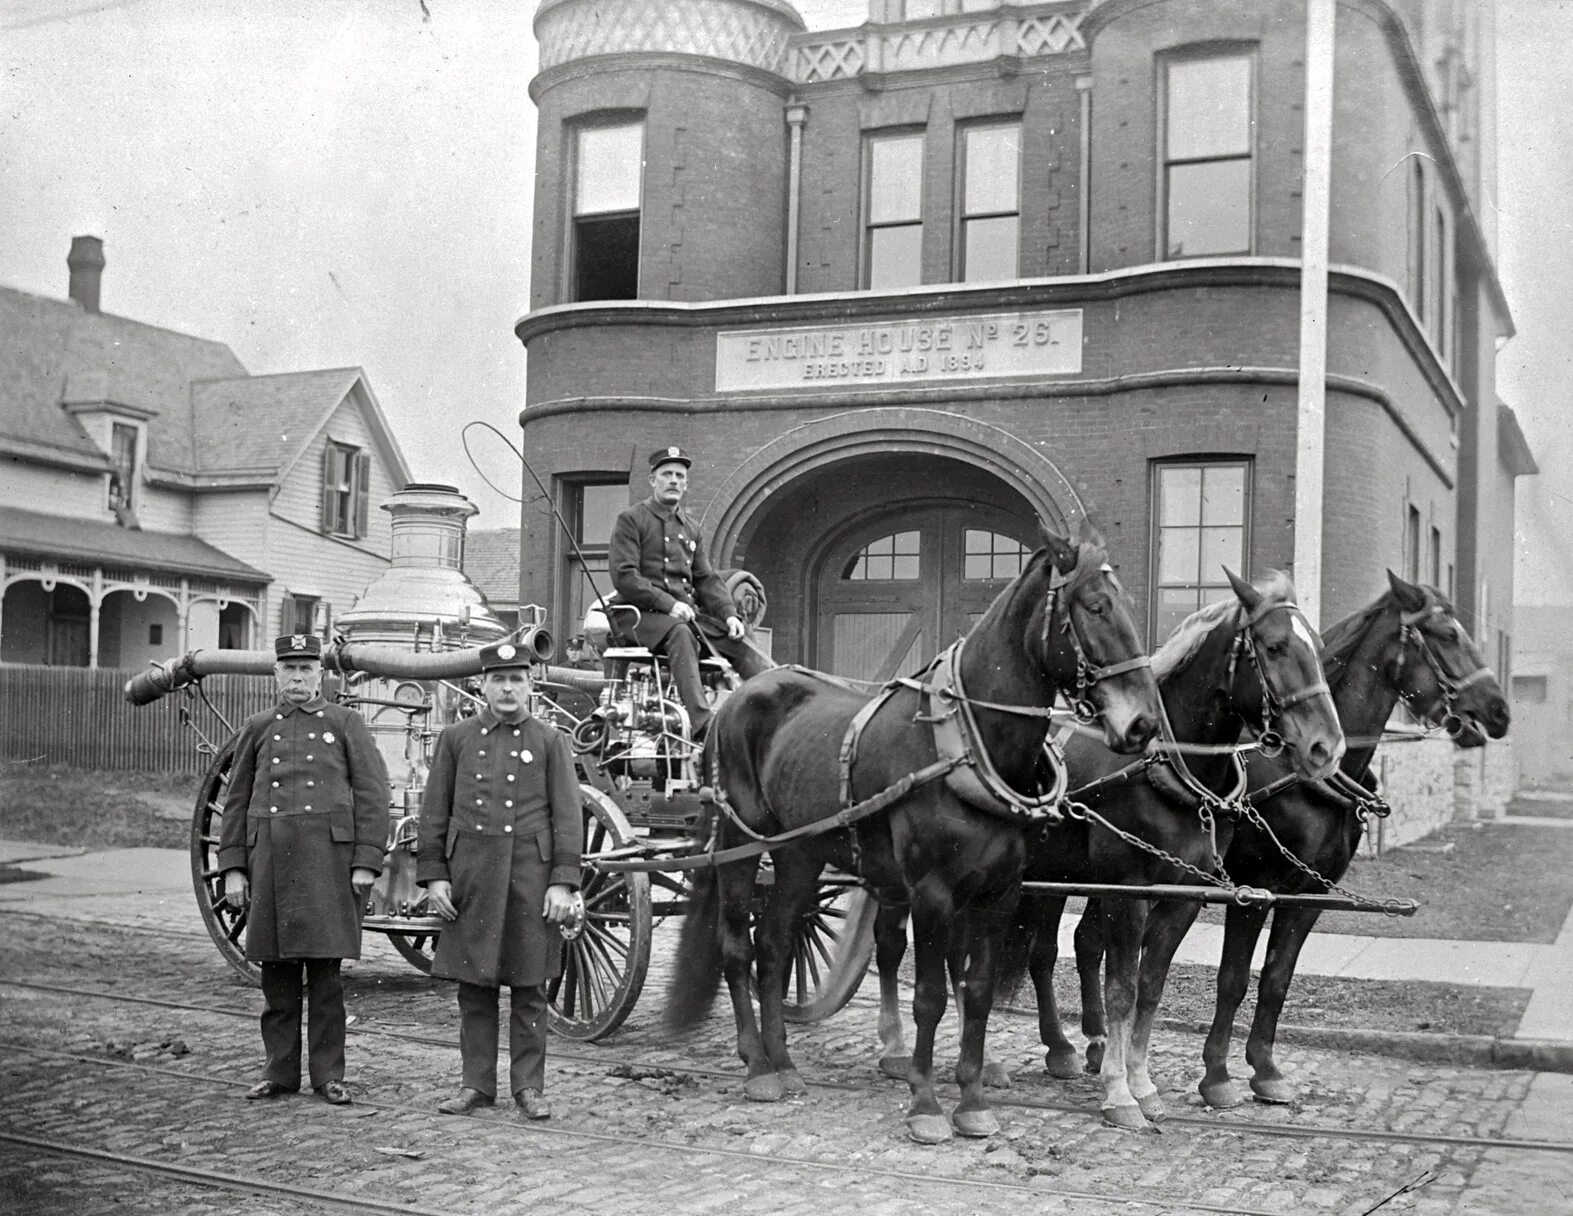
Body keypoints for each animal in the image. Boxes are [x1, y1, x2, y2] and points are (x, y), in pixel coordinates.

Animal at [657, 525, 1164, 1145]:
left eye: (1129, 606)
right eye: (1094, 607)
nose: (1143, 725)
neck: (967, 746)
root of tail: (738, 695)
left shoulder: (999, 893)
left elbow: (976, 991)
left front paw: (972, 1099)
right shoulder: (931, 892)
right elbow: (929, 997)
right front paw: (925, 1102)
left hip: (799, 856)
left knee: (774, 946)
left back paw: (783, 1061)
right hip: (739, 844)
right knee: (737, 946)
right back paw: (756, 1064)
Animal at [874, 566, 1340, 1126]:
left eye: (1319, 648)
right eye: (1274, 647)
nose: (1326, 746)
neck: (1166, 766)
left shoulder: (1185, 895)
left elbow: (1150, 985)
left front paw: (1142, 1081)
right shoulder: (1126, 890)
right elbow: (1122, 988)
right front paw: (1120, 1091)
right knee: (893, 943)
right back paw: (898, 1049)